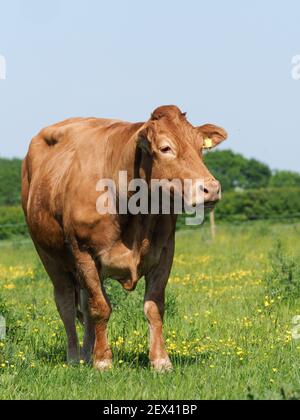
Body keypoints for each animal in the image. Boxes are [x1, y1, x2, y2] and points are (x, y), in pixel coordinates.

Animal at [21, 105, 227, 370]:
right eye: (165, 148)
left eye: (201, 147)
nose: (211, 189)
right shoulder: (83, 251)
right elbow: (100, 308)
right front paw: (103, 362)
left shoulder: (164, 252)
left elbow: (153, 307)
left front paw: (160, 361)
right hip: (49, 255)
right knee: (66, 303)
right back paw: (75, 357)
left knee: (85, 305)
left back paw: (87, 353)